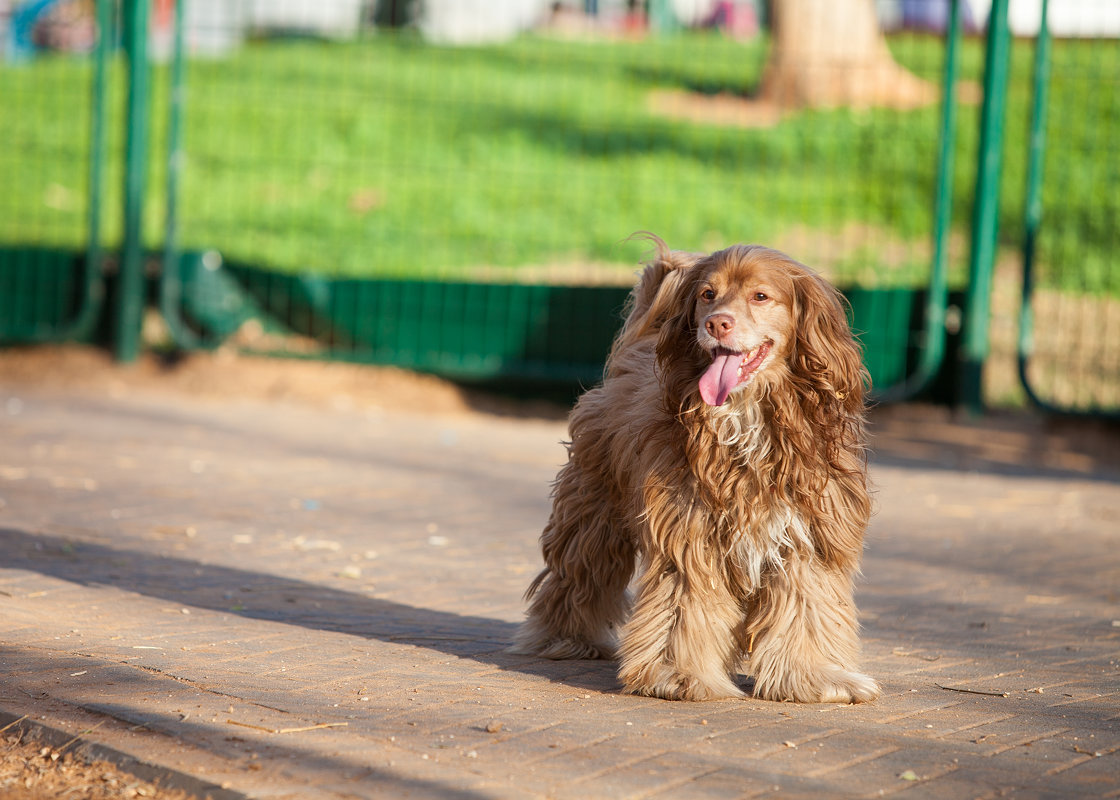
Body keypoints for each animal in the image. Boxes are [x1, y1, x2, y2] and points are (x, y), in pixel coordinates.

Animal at [512, 234, 878, 699]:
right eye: (708, 294)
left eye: (760, 296)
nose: (717, 324)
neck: (746, 418)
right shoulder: (689, 536)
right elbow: (684, 609)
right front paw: (676, 674)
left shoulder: (808, 539)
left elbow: (807, 610)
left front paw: (815, 676)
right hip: (594, 515)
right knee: (578, 576)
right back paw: (564, 638)